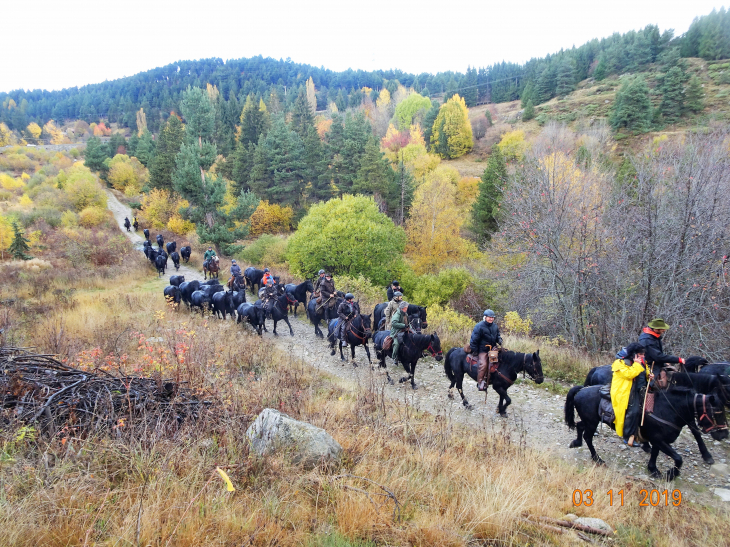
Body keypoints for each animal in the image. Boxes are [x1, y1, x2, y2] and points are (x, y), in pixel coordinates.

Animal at [564, 386, 724, 480]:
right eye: (716, 412)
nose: (722, 435)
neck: (668, 409)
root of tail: (581, 390)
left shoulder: (657, 439)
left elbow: (655, 454)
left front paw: (653, 469)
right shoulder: (659, 439)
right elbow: (678, 458)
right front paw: (671, 474)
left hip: (590, 421)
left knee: (580, 426)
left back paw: (576, 442)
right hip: (592, 422)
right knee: (587, 436)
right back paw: (597, 458)